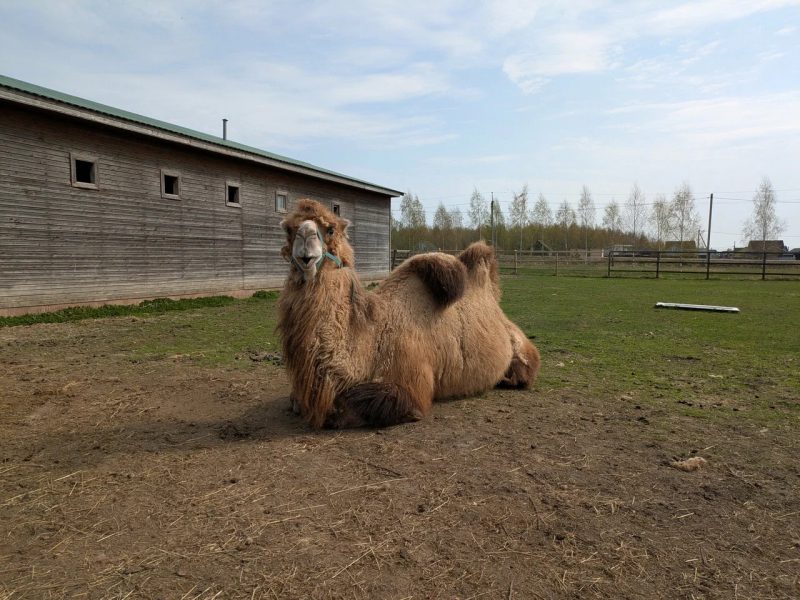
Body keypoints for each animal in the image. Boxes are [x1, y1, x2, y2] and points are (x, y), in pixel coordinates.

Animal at [277, 199, 540, 429]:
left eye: (330, 229)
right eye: (289, 230)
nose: (305, 238)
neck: (373, 338)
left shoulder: (411, 386)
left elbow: (350, 405)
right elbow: (296, 401)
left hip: (520, 346)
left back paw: (509, 378)